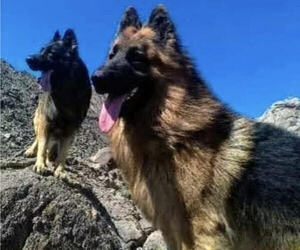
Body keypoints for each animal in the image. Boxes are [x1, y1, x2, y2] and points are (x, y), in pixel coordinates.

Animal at [25, 29, 91, 178]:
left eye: (51, 53)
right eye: (41, 50)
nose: (28, 58)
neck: (66, 92)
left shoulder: (71, 130)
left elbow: (63, 152)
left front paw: (60, 169)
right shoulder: (45, 122)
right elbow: (42, 145)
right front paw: (40, 164)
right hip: (38, 121)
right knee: (39, 140)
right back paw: (32, 151)